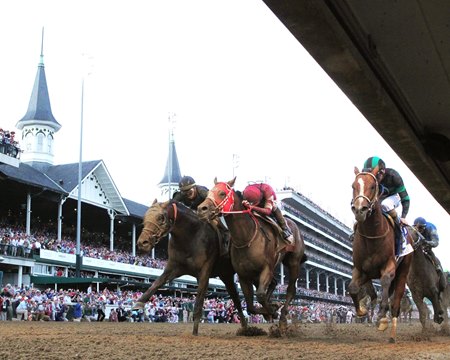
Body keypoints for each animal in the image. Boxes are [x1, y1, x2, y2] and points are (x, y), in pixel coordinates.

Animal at [132, 200, 248, 334]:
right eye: (145, 218)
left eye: (160, 217)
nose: (142, 243)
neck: (191, 236)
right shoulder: (174, 267)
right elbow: (156, 283)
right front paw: (139, 303)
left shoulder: (204, 271)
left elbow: (198, 303)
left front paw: (194, 333)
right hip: (226, 275)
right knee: (236, 299)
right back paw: (245, 327)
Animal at [199, 177, 308, 332]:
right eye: (208, 192)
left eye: (222, 193)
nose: (201, 209)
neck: (246, 237)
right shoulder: (244, 276)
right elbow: (250, 306)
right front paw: (271, 310)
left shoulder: (266, 269)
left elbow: (260, 295)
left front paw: (273, 310)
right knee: (274, 283)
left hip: (293, 262)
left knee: (291, 289)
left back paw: (282, 317)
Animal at [348, 169, 414, 344]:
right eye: (353, 186)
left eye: (372, 186)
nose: (360, 210)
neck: (373, 235)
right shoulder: (361, 270)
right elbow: (353, 288)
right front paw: (361, 311)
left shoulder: (389, 266)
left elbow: (384, 283)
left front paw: (382, 318)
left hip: (403, 271)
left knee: (396, 305)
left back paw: (392, 334)